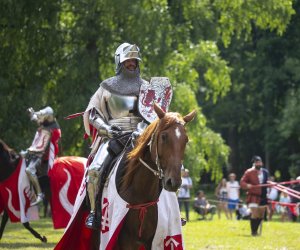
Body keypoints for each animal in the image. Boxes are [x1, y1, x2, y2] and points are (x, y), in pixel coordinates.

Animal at [113, 103, 196, 248]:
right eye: (164, 136)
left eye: (186, 140)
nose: (173, 182)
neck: (142, 197)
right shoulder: (125, 241)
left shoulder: (152, 241)